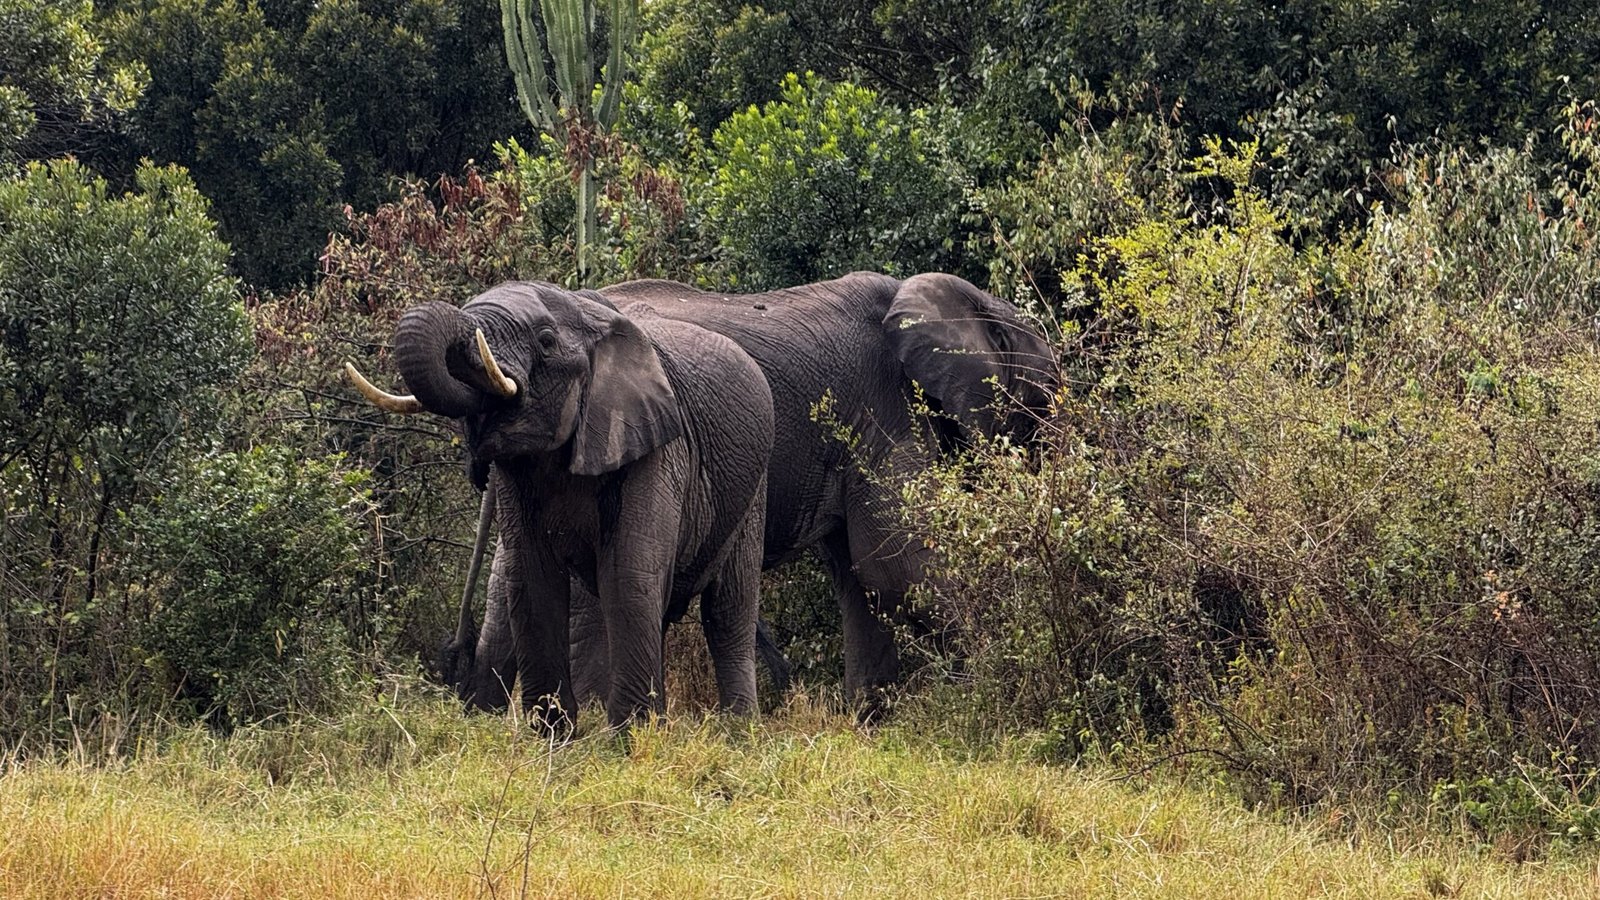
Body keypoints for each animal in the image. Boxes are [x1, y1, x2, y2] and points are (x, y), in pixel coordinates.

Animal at [347, 281, 774, 729]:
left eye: (546, 340)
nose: (451, 660)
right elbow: (530, 580)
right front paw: (556, 737)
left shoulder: (655, 447)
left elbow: (628, 574)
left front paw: (631, 738)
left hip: (754, 486)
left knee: (726, 610)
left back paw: (738, 730)